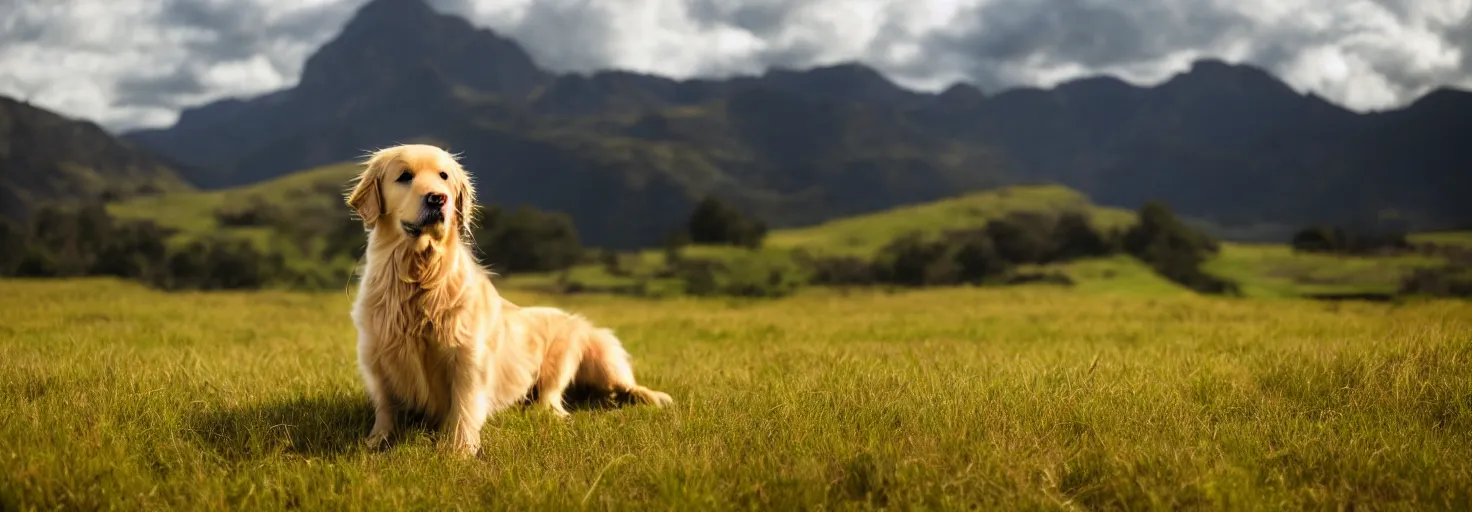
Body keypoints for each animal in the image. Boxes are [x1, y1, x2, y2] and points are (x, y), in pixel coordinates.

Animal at [344, 141, 674, 456]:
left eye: (444, 176)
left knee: (559, 399)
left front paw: (460, 451)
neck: (419, 275)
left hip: (579, 354)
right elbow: (386, 406)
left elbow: (464, 407)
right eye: (404, 176)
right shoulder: (375, 355)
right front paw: (376, 441)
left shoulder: (466, 357)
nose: (438, 199)